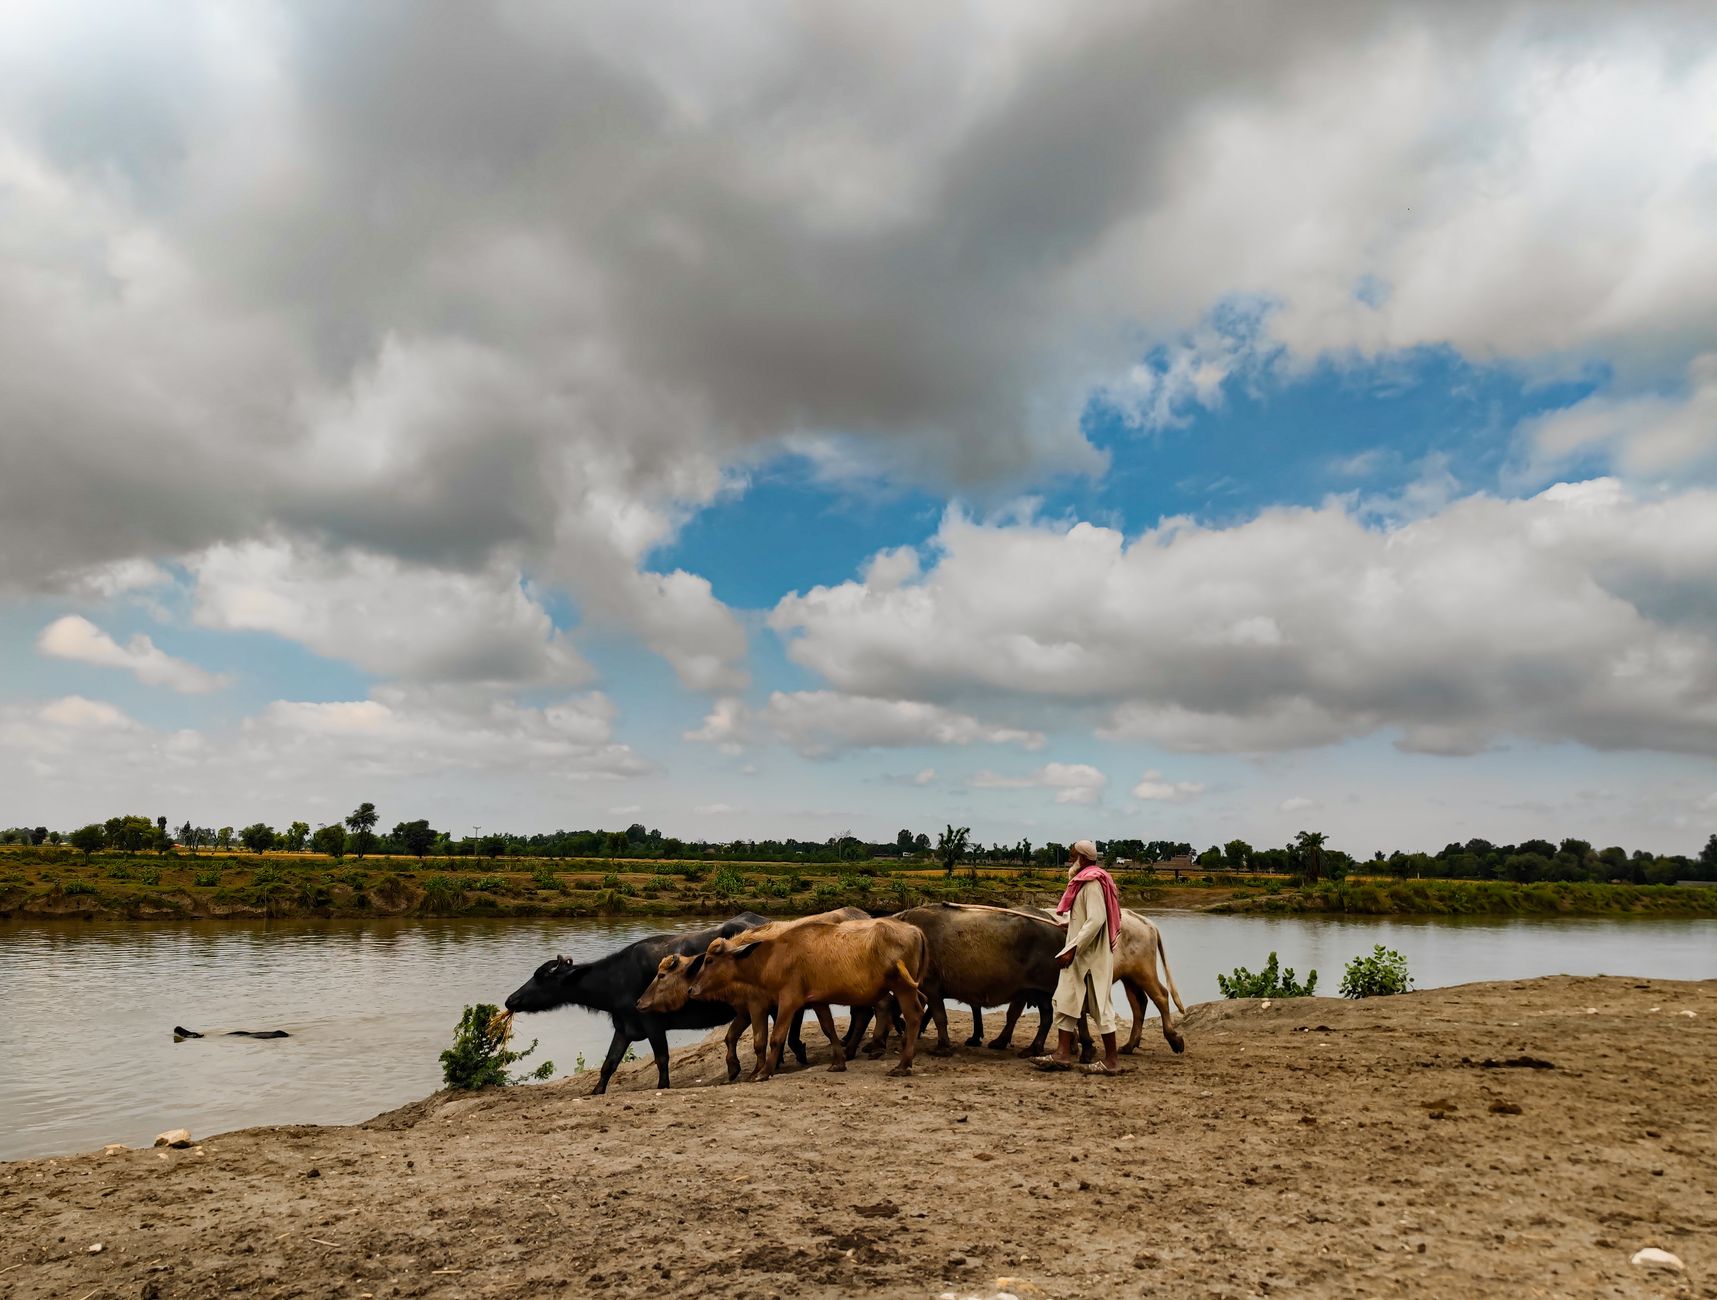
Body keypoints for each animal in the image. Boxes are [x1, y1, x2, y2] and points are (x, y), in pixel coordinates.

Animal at [504, 912, 804, 1095]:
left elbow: (662, 1058)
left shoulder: (652, 1023)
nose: (510, 1000)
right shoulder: (624, 1028)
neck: (616, 980)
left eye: (541, 977)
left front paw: (663, 1084)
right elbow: (609, 1063)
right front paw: (596, 1090)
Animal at [636, 907, 868, 1081]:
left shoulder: (761, 1005)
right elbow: (730, 1036)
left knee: (863, 1015)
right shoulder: (745, 1009)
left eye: (662, 975)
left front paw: (760, 1069)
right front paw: (734, 1067)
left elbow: (761, 1041)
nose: (639, 1002)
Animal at [686, 917, 929, 1080]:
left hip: (901, 987)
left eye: (709, 960)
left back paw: (903, 1065)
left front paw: (764, 1072)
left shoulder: (789, 1000)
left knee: (913, 1015)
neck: (775, 955)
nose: (691, 989)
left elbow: (776, 1037)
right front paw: (838, 1063)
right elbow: (829, 1029)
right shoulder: (818, 1000)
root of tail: (916, 930)